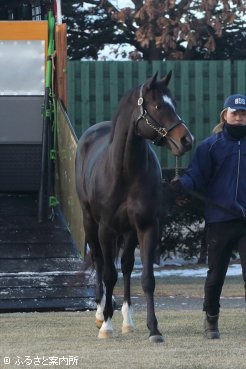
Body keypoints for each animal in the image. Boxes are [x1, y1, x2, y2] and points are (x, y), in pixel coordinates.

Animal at [76, 72, 193, 342]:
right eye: (158, 106)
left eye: (174, 104)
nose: (186, 140)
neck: (125, 171)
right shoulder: (106, 229)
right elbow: (109, 274)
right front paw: (106, 326)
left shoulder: (147, 226)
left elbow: (147, 278)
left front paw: (154, 329)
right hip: (90, 222)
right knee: (100, 262)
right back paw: (101, 314)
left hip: (128, 232)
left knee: (127, 265)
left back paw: (128, 321)